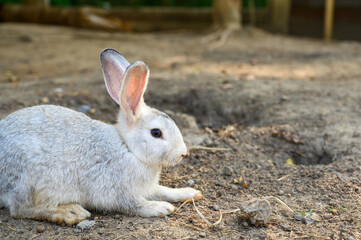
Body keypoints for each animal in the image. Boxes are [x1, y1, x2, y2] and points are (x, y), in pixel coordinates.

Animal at [0, 48, 202, 225]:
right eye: (156, 133)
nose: (183, 153)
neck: (128, 148)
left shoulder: (149, 187)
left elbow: (164, 190)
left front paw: (190, 192)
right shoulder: (117, 191)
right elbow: (135, 205)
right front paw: (160, 208)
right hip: (28, 181)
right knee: (21, 209)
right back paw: (70, 212)